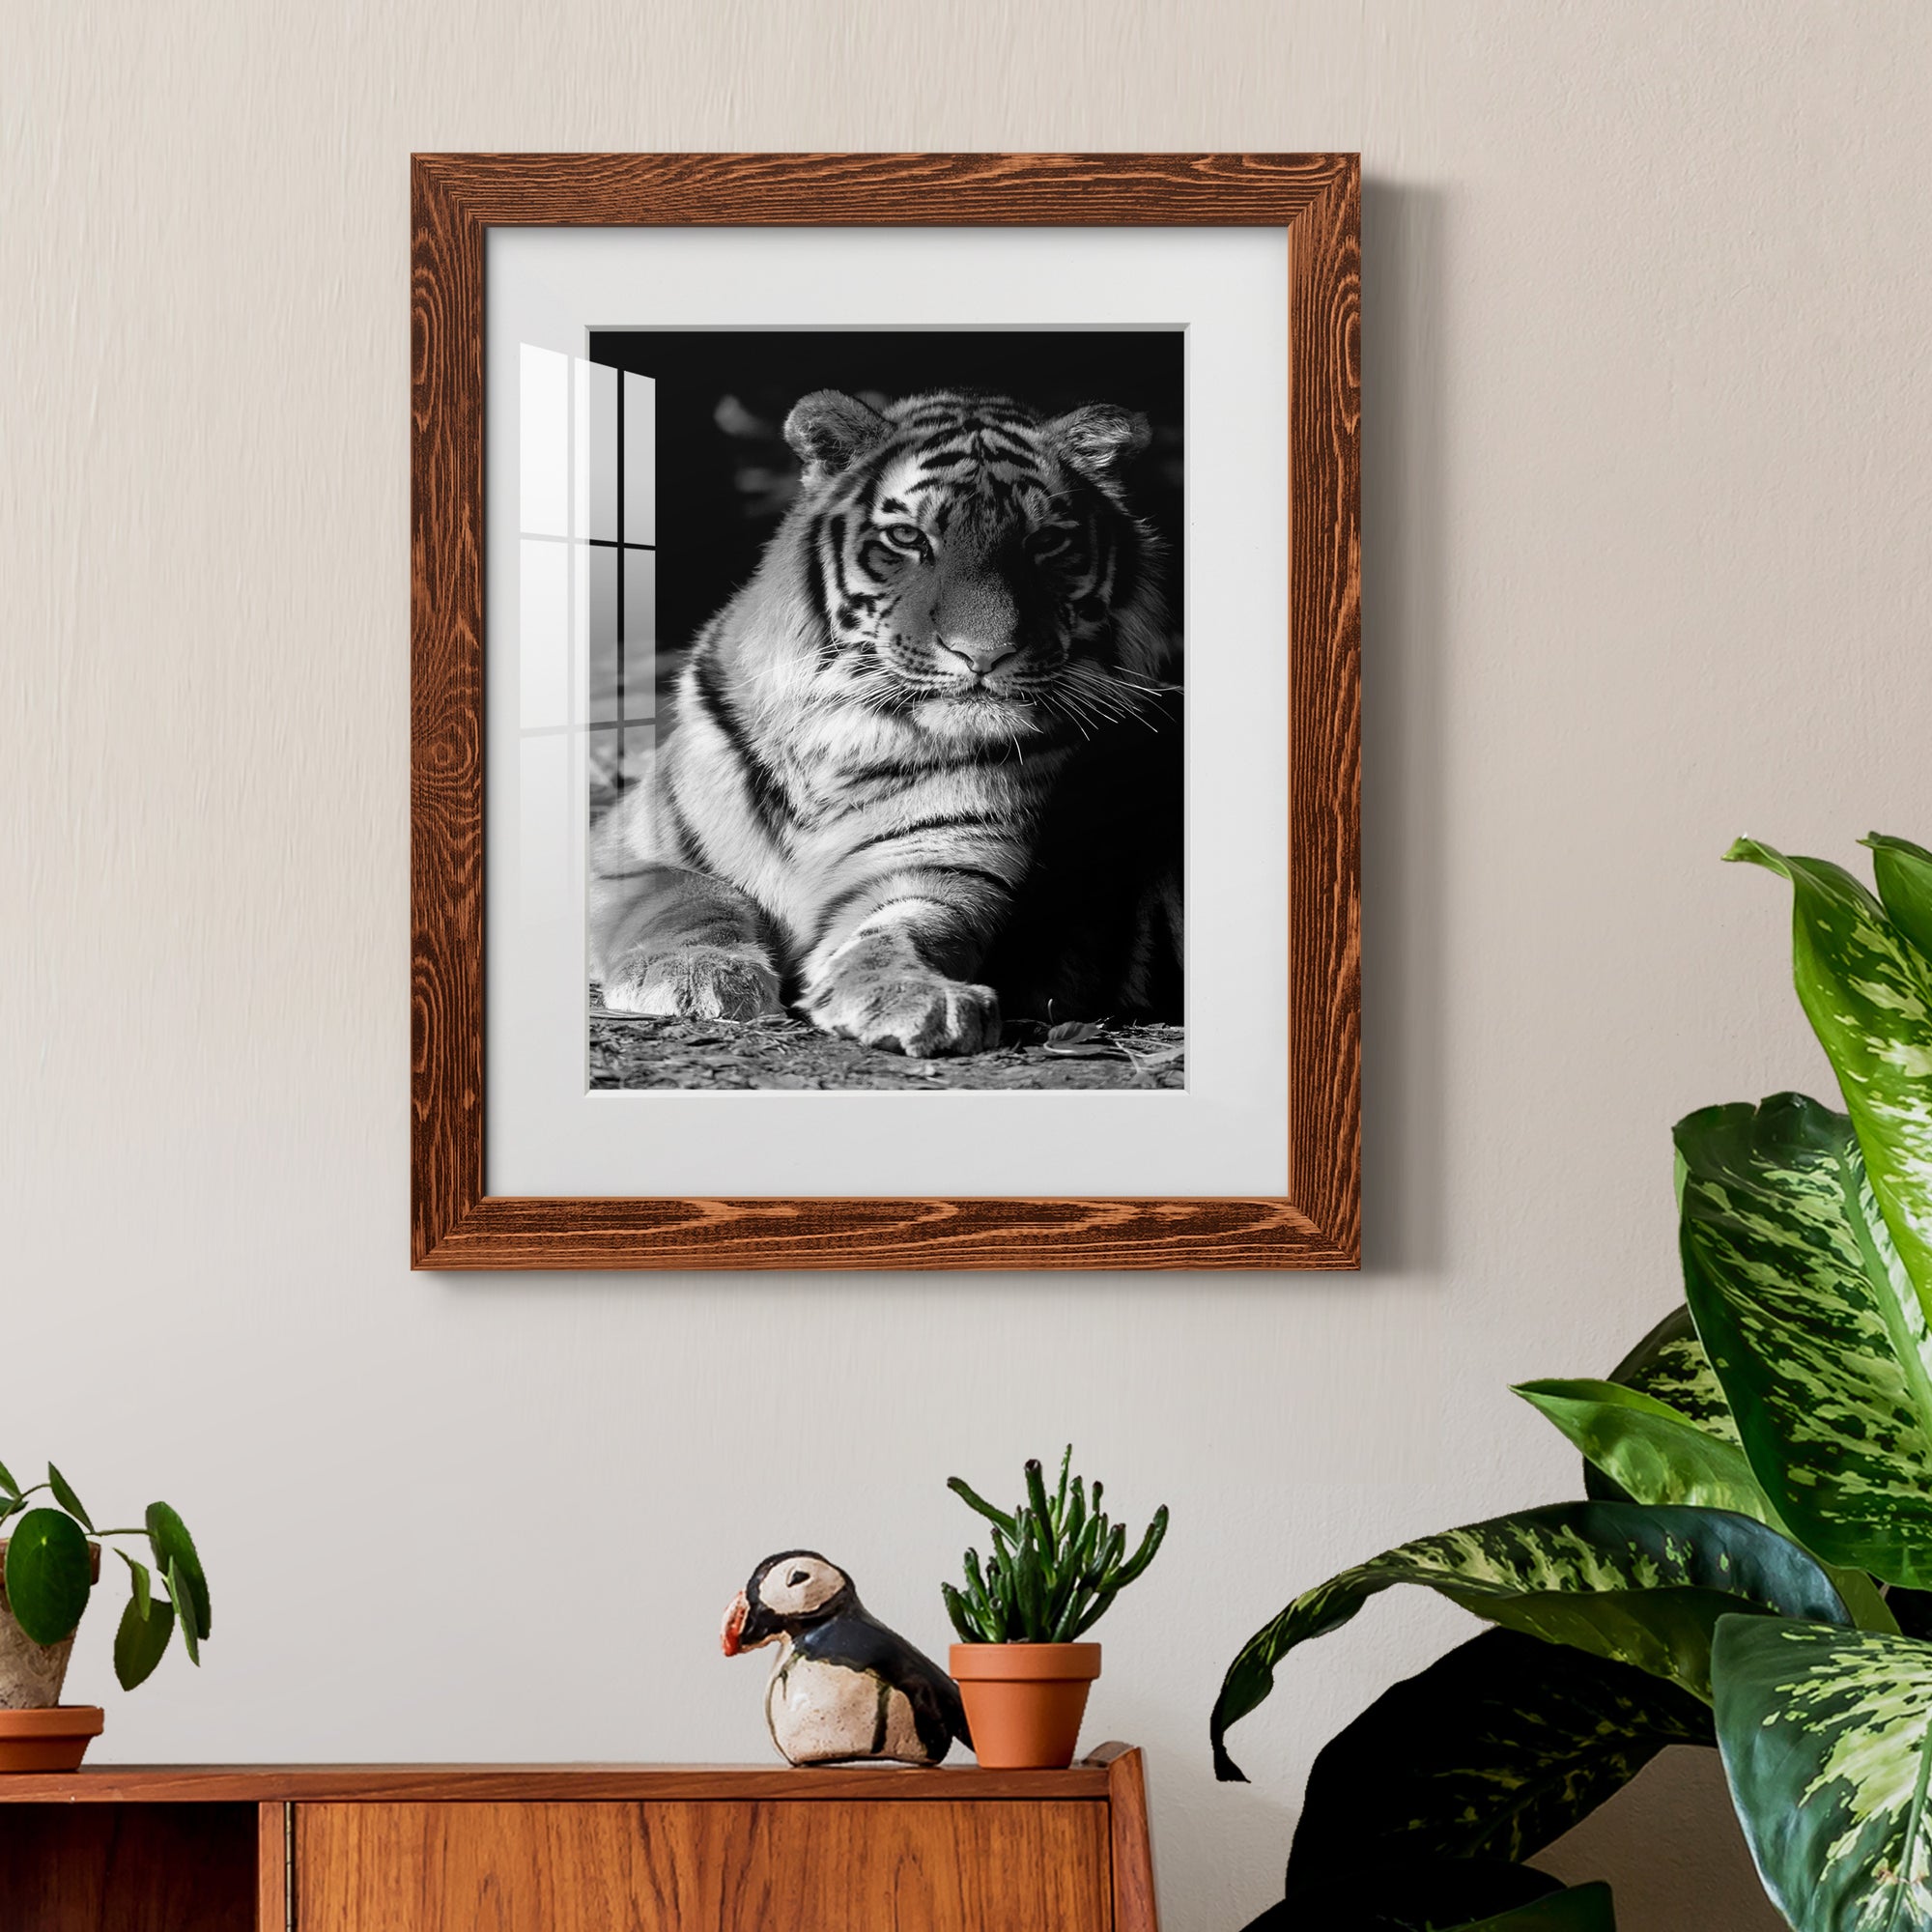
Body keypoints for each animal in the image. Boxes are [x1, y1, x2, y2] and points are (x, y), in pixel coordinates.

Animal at [588, 386, 1183, 1058]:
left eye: (1045, 542)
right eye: (907, 537)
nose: (984, 655)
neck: (844, 736)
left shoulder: (943, 867)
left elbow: (906, 930)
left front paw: (912, 995)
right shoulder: (624, 851)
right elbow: (690, 896)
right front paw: (697, 975)